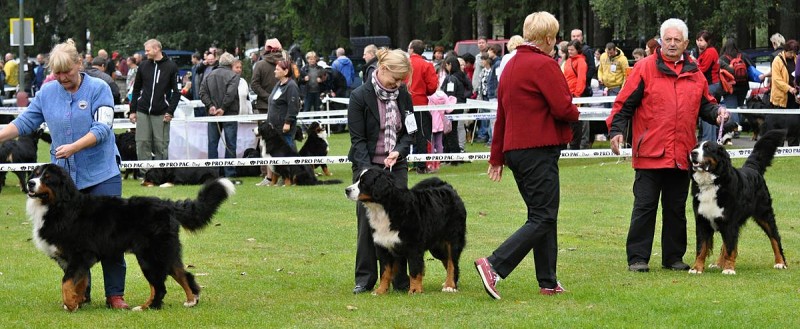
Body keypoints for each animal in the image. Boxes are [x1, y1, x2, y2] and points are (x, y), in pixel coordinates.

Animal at [25, 163, 236, 310]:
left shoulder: (80, 254)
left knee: (160, 287)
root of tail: (167, 205)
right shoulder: (73, 259)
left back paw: (145, 308)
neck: (59, 206)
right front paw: (77, 302)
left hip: (150, 256)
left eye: (47, 178)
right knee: (182, 274)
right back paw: (190, 301)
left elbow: (67, 282)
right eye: (35, 174)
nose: (30, 183)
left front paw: (70, 304)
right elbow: (80, 282)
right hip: (166, 253)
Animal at [688, 129, 788, 274]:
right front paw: (696, 268)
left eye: (707, 148)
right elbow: (702, 247)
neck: (712, 183)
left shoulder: (730, 222)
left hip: (765, 214)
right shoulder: (702, 220)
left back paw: (780, 262)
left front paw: (729, 269)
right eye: (696, 147)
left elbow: (730, 248)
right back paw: (718, 263)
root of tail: (752, 168)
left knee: (775, 238)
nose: (693, 153)